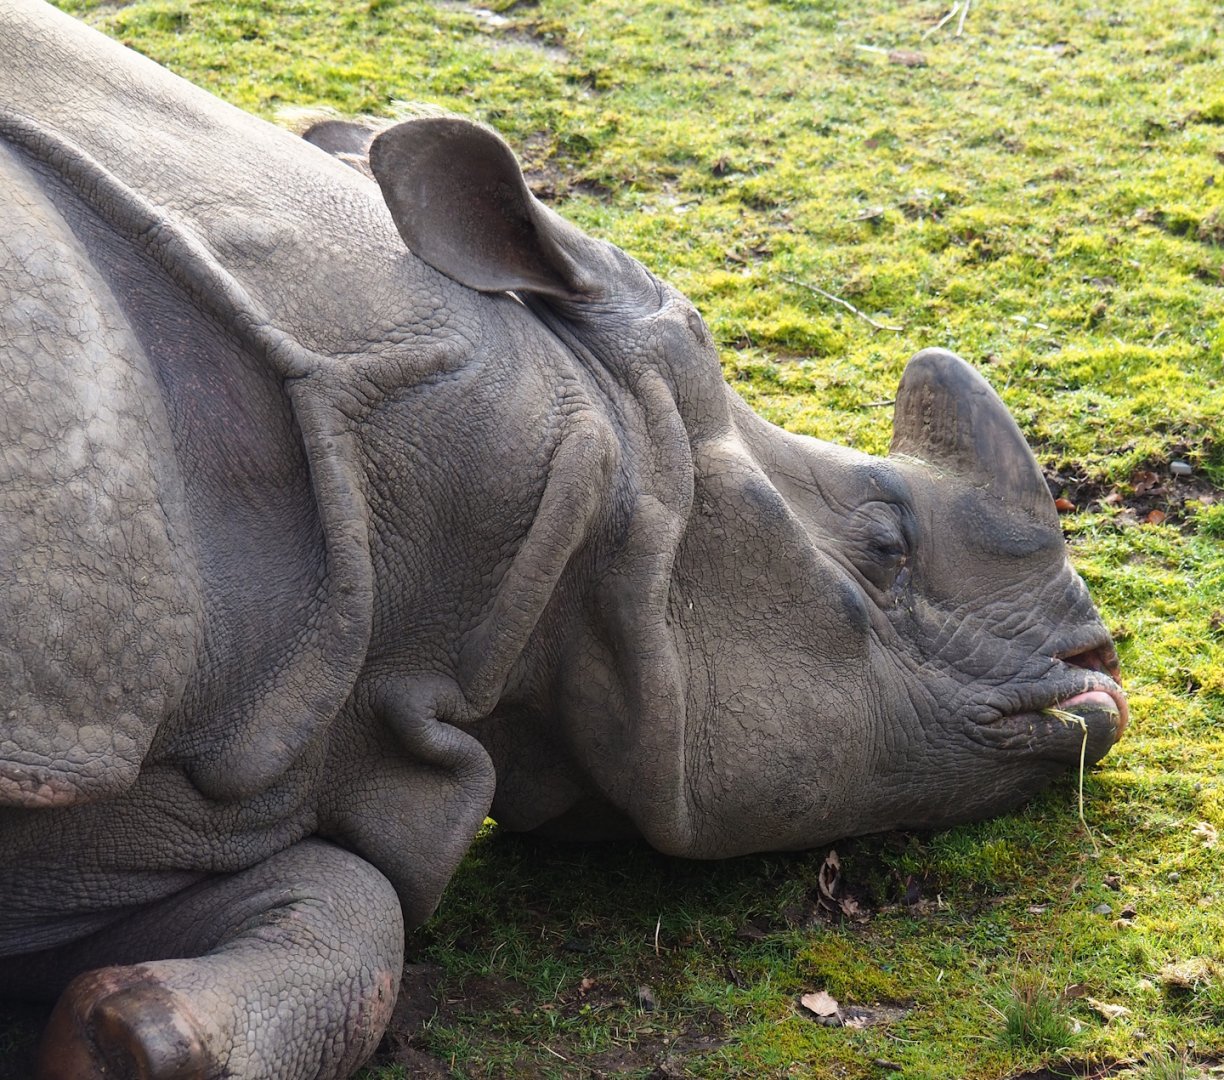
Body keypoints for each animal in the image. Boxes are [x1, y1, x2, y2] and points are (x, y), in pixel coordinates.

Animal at [0, 0, 1127, 1076]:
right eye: (886, 546)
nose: (1100, 671)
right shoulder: (78, 716)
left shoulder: (208, 757)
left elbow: (339, 897)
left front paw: (115, 1032)